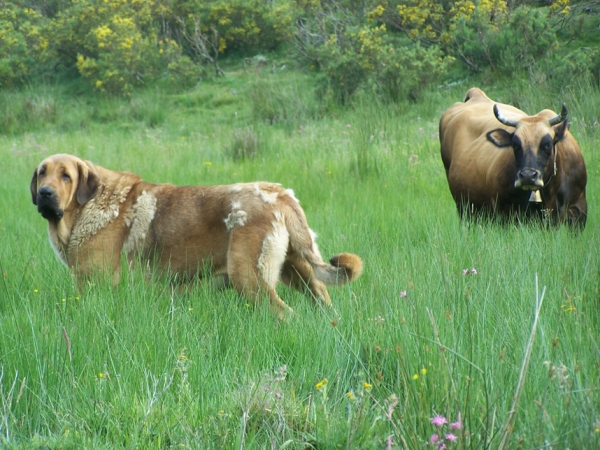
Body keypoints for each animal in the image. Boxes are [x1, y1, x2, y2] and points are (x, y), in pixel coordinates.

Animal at [438, 87, 588, 229]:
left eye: (548, 145)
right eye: (515, 145)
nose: (527, 176)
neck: (550, 191)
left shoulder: (578, 209)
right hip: (465, 208)